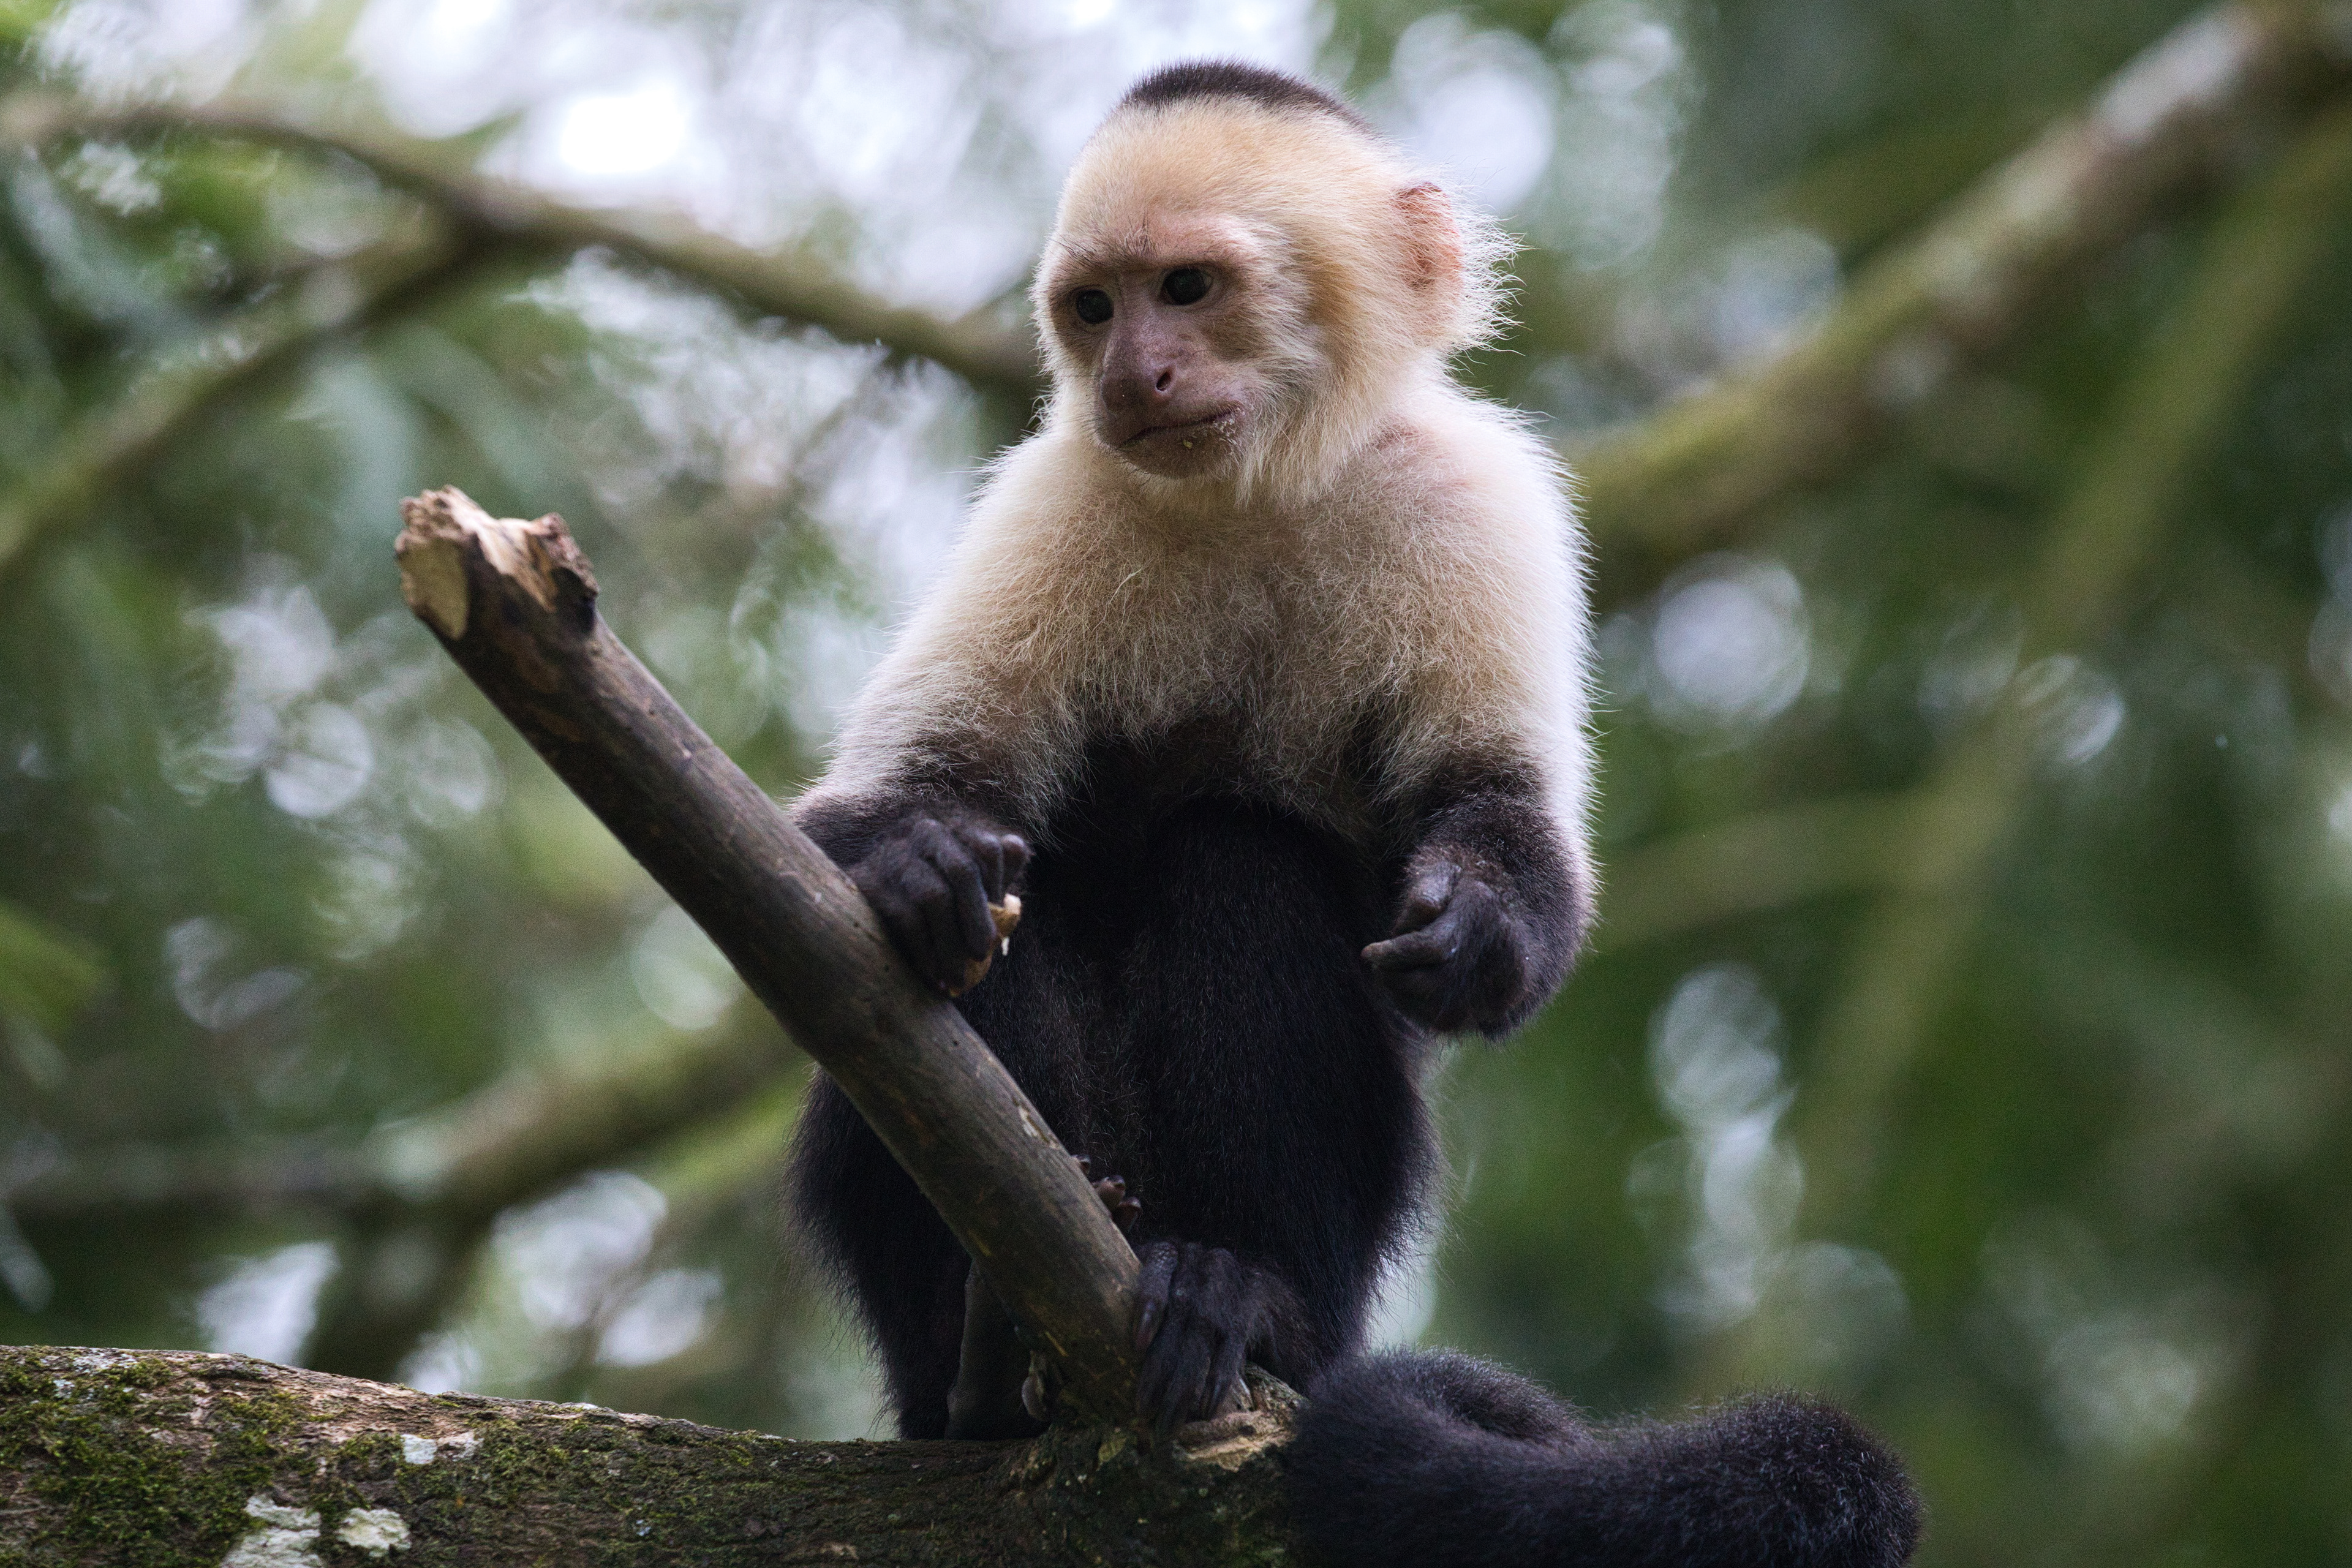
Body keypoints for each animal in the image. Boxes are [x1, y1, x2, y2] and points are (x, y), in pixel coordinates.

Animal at [787, 60, 1920, 1567]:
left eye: (1188, 287)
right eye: (1095, 308)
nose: (1133, 373)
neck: (1259, 493)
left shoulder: (1476, 498)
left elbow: (1504, 831)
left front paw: (1480, 923)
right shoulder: (1052, 500)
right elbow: (874, 817)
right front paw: (920, 856)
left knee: (1242, 862)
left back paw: (1238, 1294)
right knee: (1018, 916)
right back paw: (980, 1358)